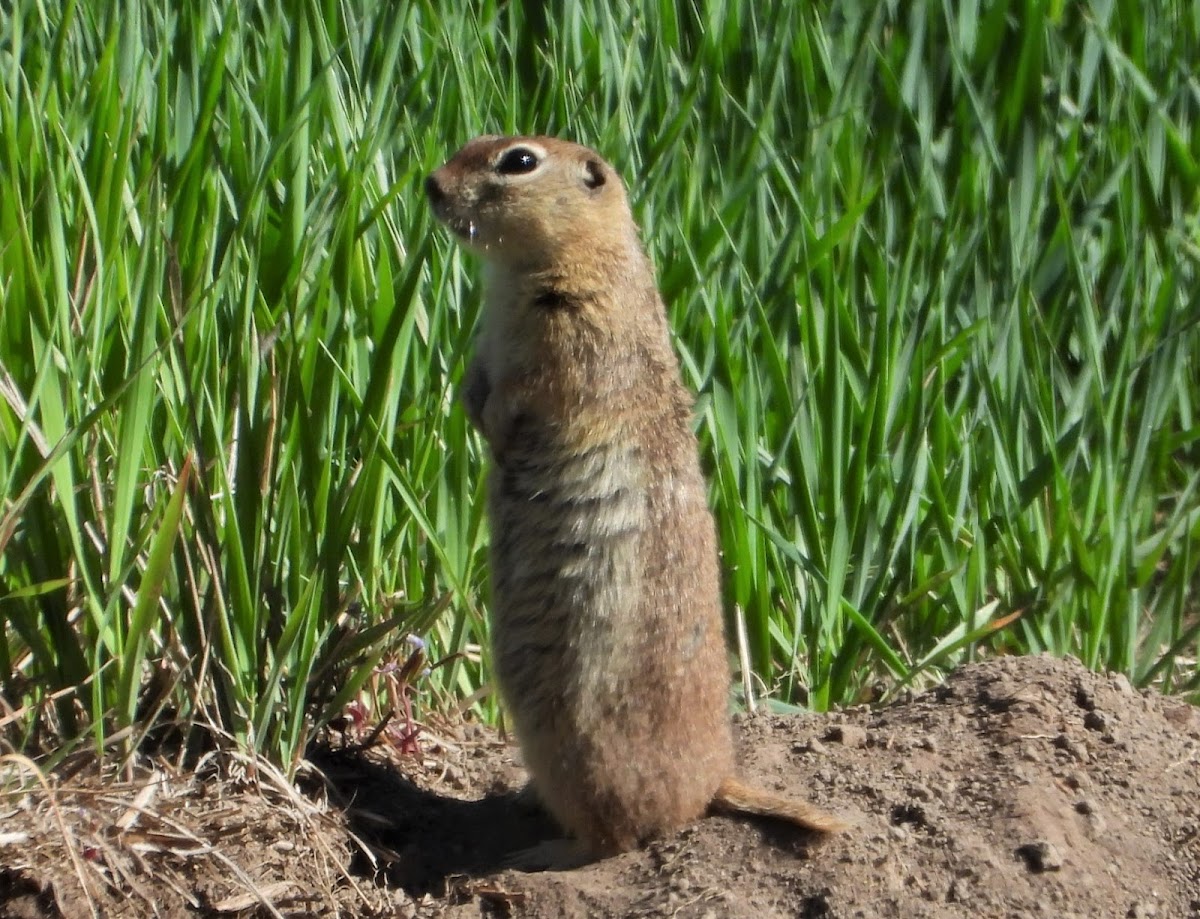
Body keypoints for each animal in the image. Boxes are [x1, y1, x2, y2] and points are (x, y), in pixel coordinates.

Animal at [427, 134, 849, 863]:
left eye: (519, 160)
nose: (430, 183)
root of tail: (714, 783)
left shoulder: (574, 328)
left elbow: (533, 388)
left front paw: (502, 432)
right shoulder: (488, 338)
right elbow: (475, 381)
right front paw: (474, 414)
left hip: (583, 745)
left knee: (618, 838)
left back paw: (537, 855)